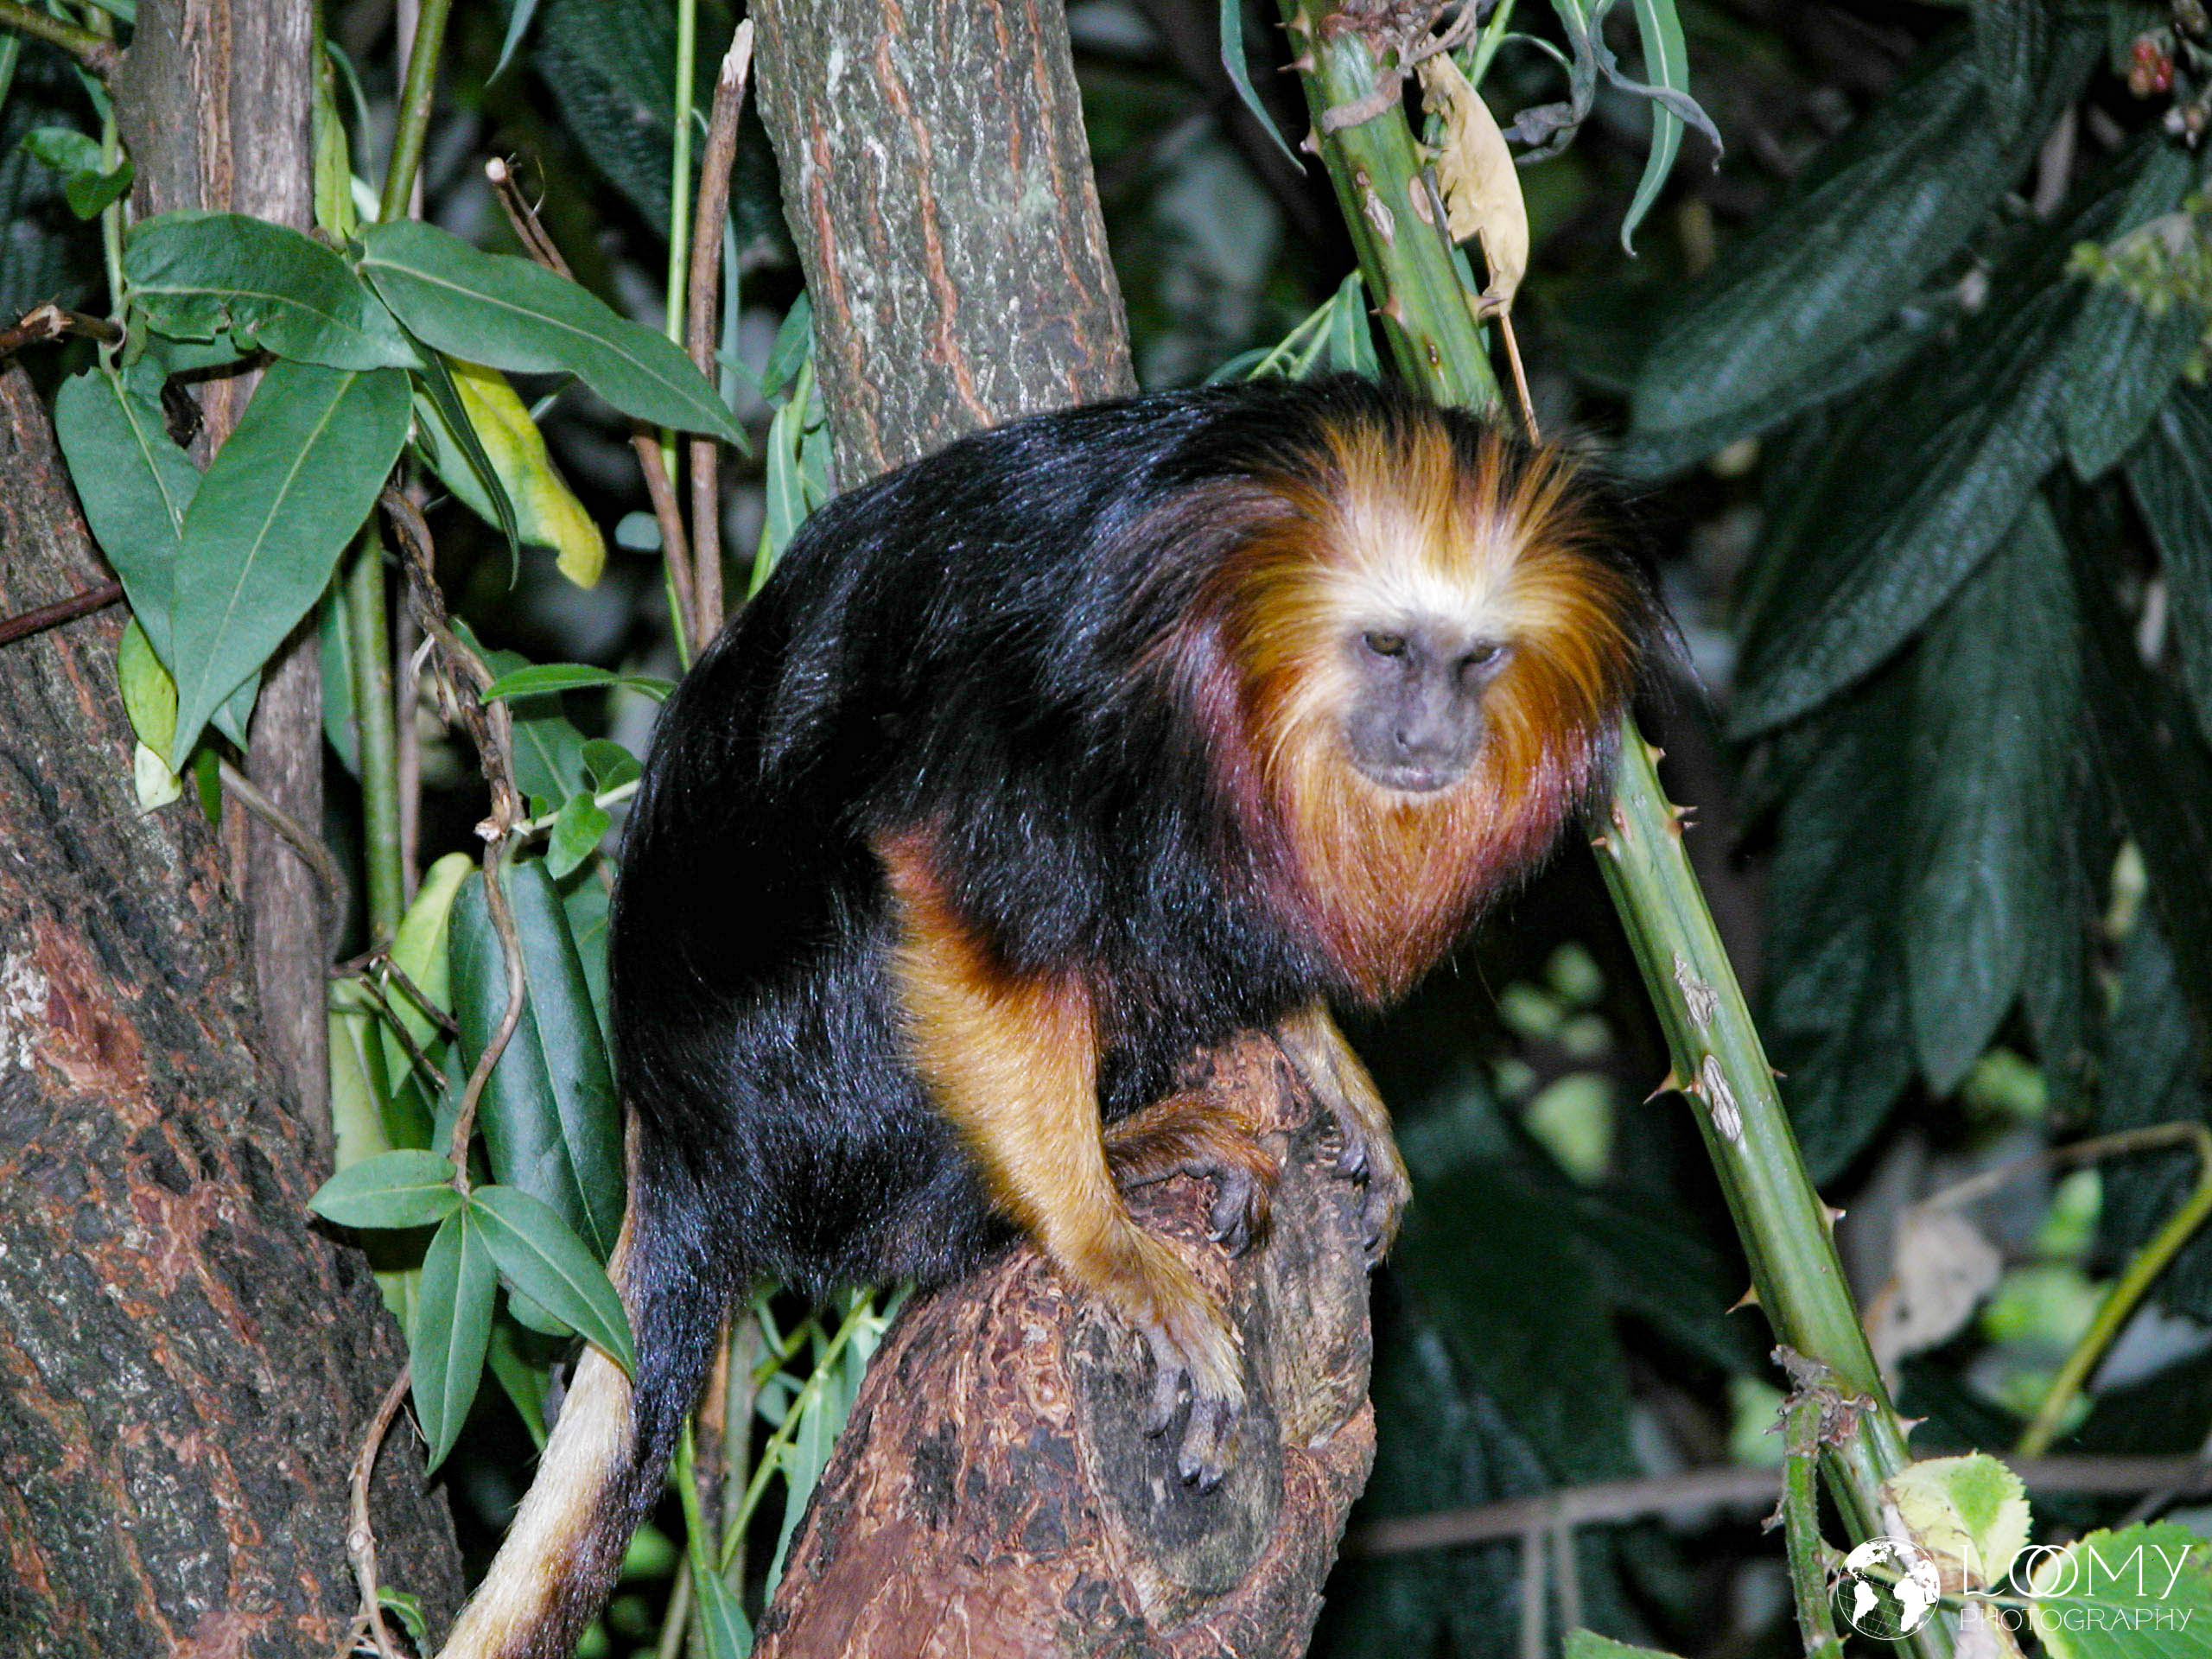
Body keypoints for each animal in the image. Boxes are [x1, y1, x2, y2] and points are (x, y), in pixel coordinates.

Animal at [438, 374, 1655, 1659]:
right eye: (1387, 647)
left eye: (1476, 660)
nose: (1430, 736)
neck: (1221, 655)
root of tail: (669, 1133)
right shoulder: (1055, 716)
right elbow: (952, 894)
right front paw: (1101, 1239)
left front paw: (1315, 1049)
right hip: (802, 1079)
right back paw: (1094, 1161)